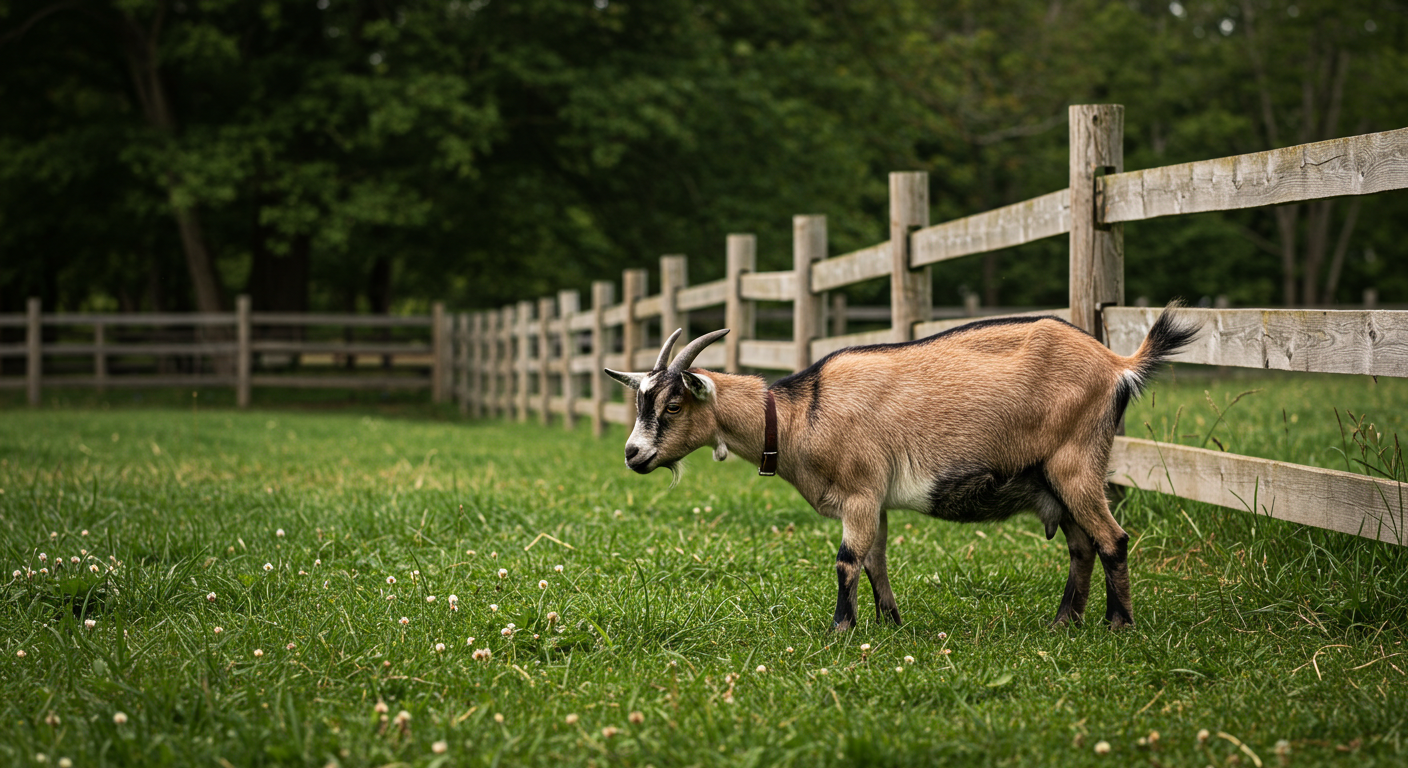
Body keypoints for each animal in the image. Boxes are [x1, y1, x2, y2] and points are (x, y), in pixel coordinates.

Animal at [605, 305, 1198, 630]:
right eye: (641, 400)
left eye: (673, 405)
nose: (633, 454)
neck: (801, 413)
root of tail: (1118, 364)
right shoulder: (875, 498)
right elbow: (876, 561)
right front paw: (889, 622)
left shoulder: (861, 490)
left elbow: (847, 560)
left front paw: (840, 630)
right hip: (1052, 477)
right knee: (1081, 545)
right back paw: (1062, 623)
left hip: (1076, 461)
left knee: (1112, 539)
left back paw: (1118, 625)